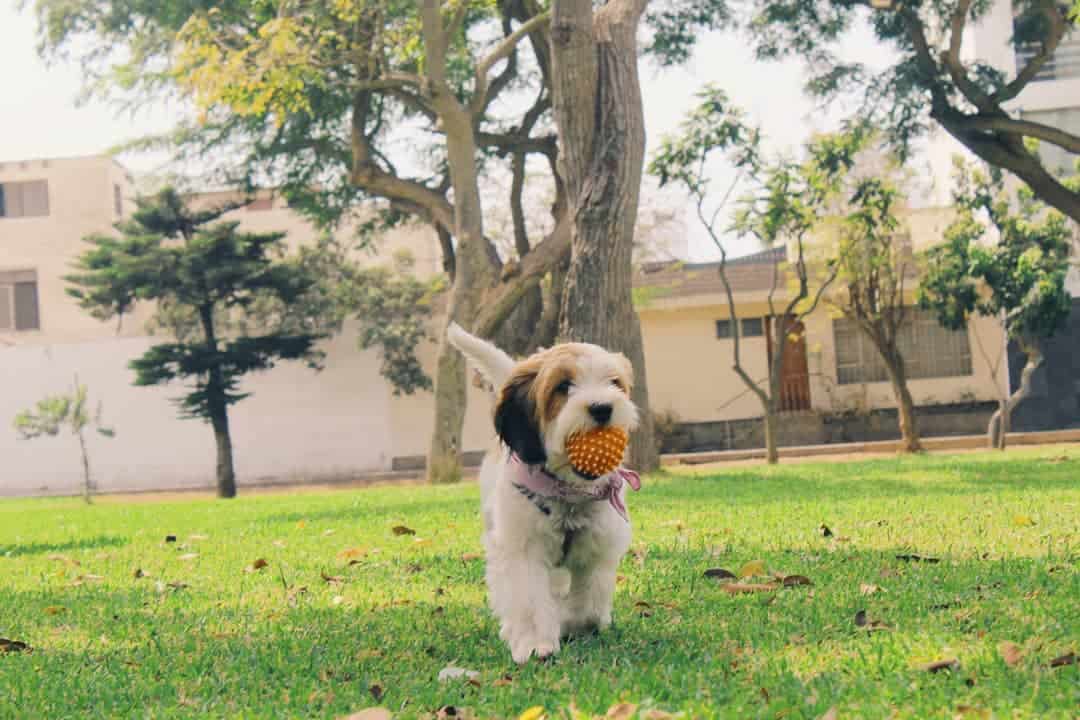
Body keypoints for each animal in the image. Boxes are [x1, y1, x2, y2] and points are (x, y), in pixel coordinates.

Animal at [447, 325, 639, 664]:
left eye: (614, 383)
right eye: (563, 386)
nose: (602, 407)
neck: (567, 493)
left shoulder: (598, 549)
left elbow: (589, 604)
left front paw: (573, 624)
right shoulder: (523, 549)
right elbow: (529, 598)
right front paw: (535, 643)